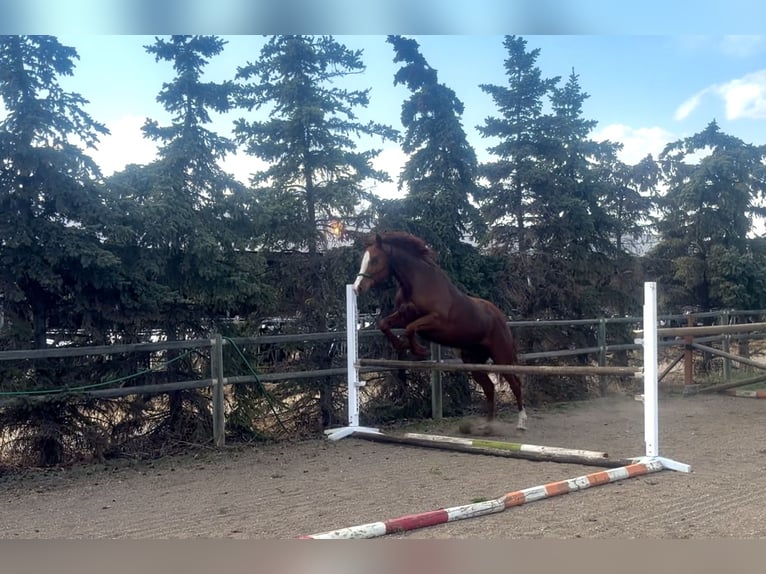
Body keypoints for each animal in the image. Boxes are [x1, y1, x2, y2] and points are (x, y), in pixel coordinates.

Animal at [352, 231, 527, 430]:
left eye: (374, 259)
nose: (357, 287)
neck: (418, 284)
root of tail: (501, 318)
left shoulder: (436, 320)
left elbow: (411, 329)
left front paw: (419, 350)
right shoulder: (403, 316)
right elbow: (384, 324)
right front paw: (400, 345)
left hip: (501, 356)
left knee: (515, 384)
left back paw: (521, 423)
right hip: (473, 360)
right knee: (489, 387)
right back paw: (487, 427)